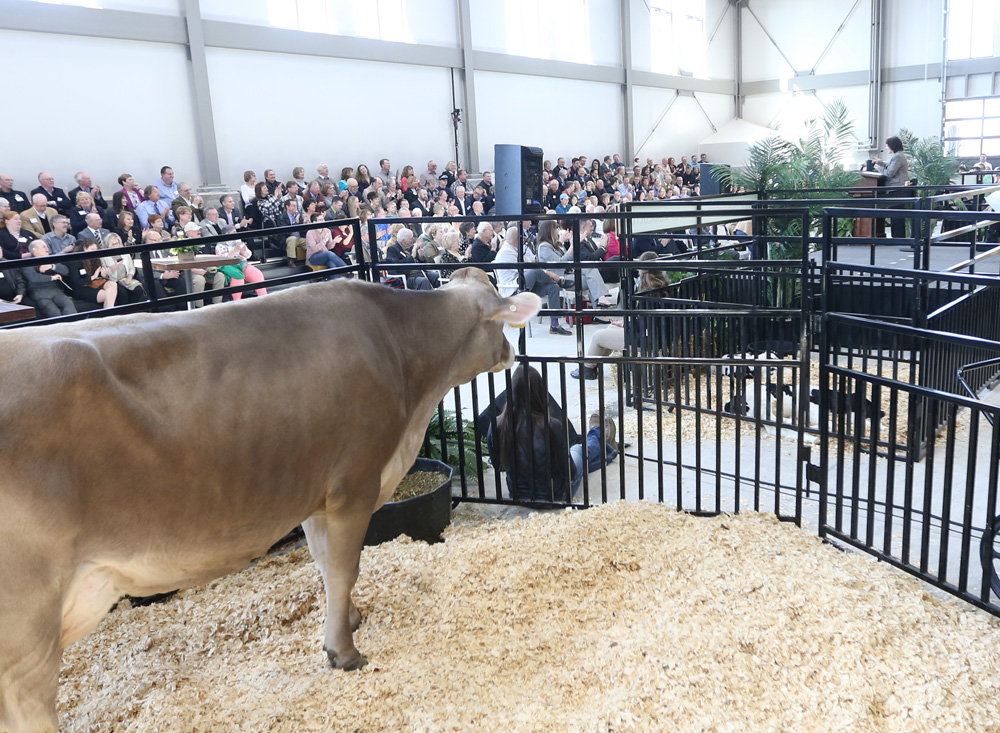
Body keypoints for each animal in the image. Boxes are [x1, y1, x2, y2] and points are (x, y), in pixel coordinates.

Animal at [0, 268, 544, 728]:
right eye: (501, 322)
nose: (510, 352)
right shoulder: (354, 483)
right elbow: (345, 567)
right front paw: (344, 651)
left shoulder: (316, 494)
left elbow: (325, 565)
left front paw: (347, 619)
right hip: (27, 623)